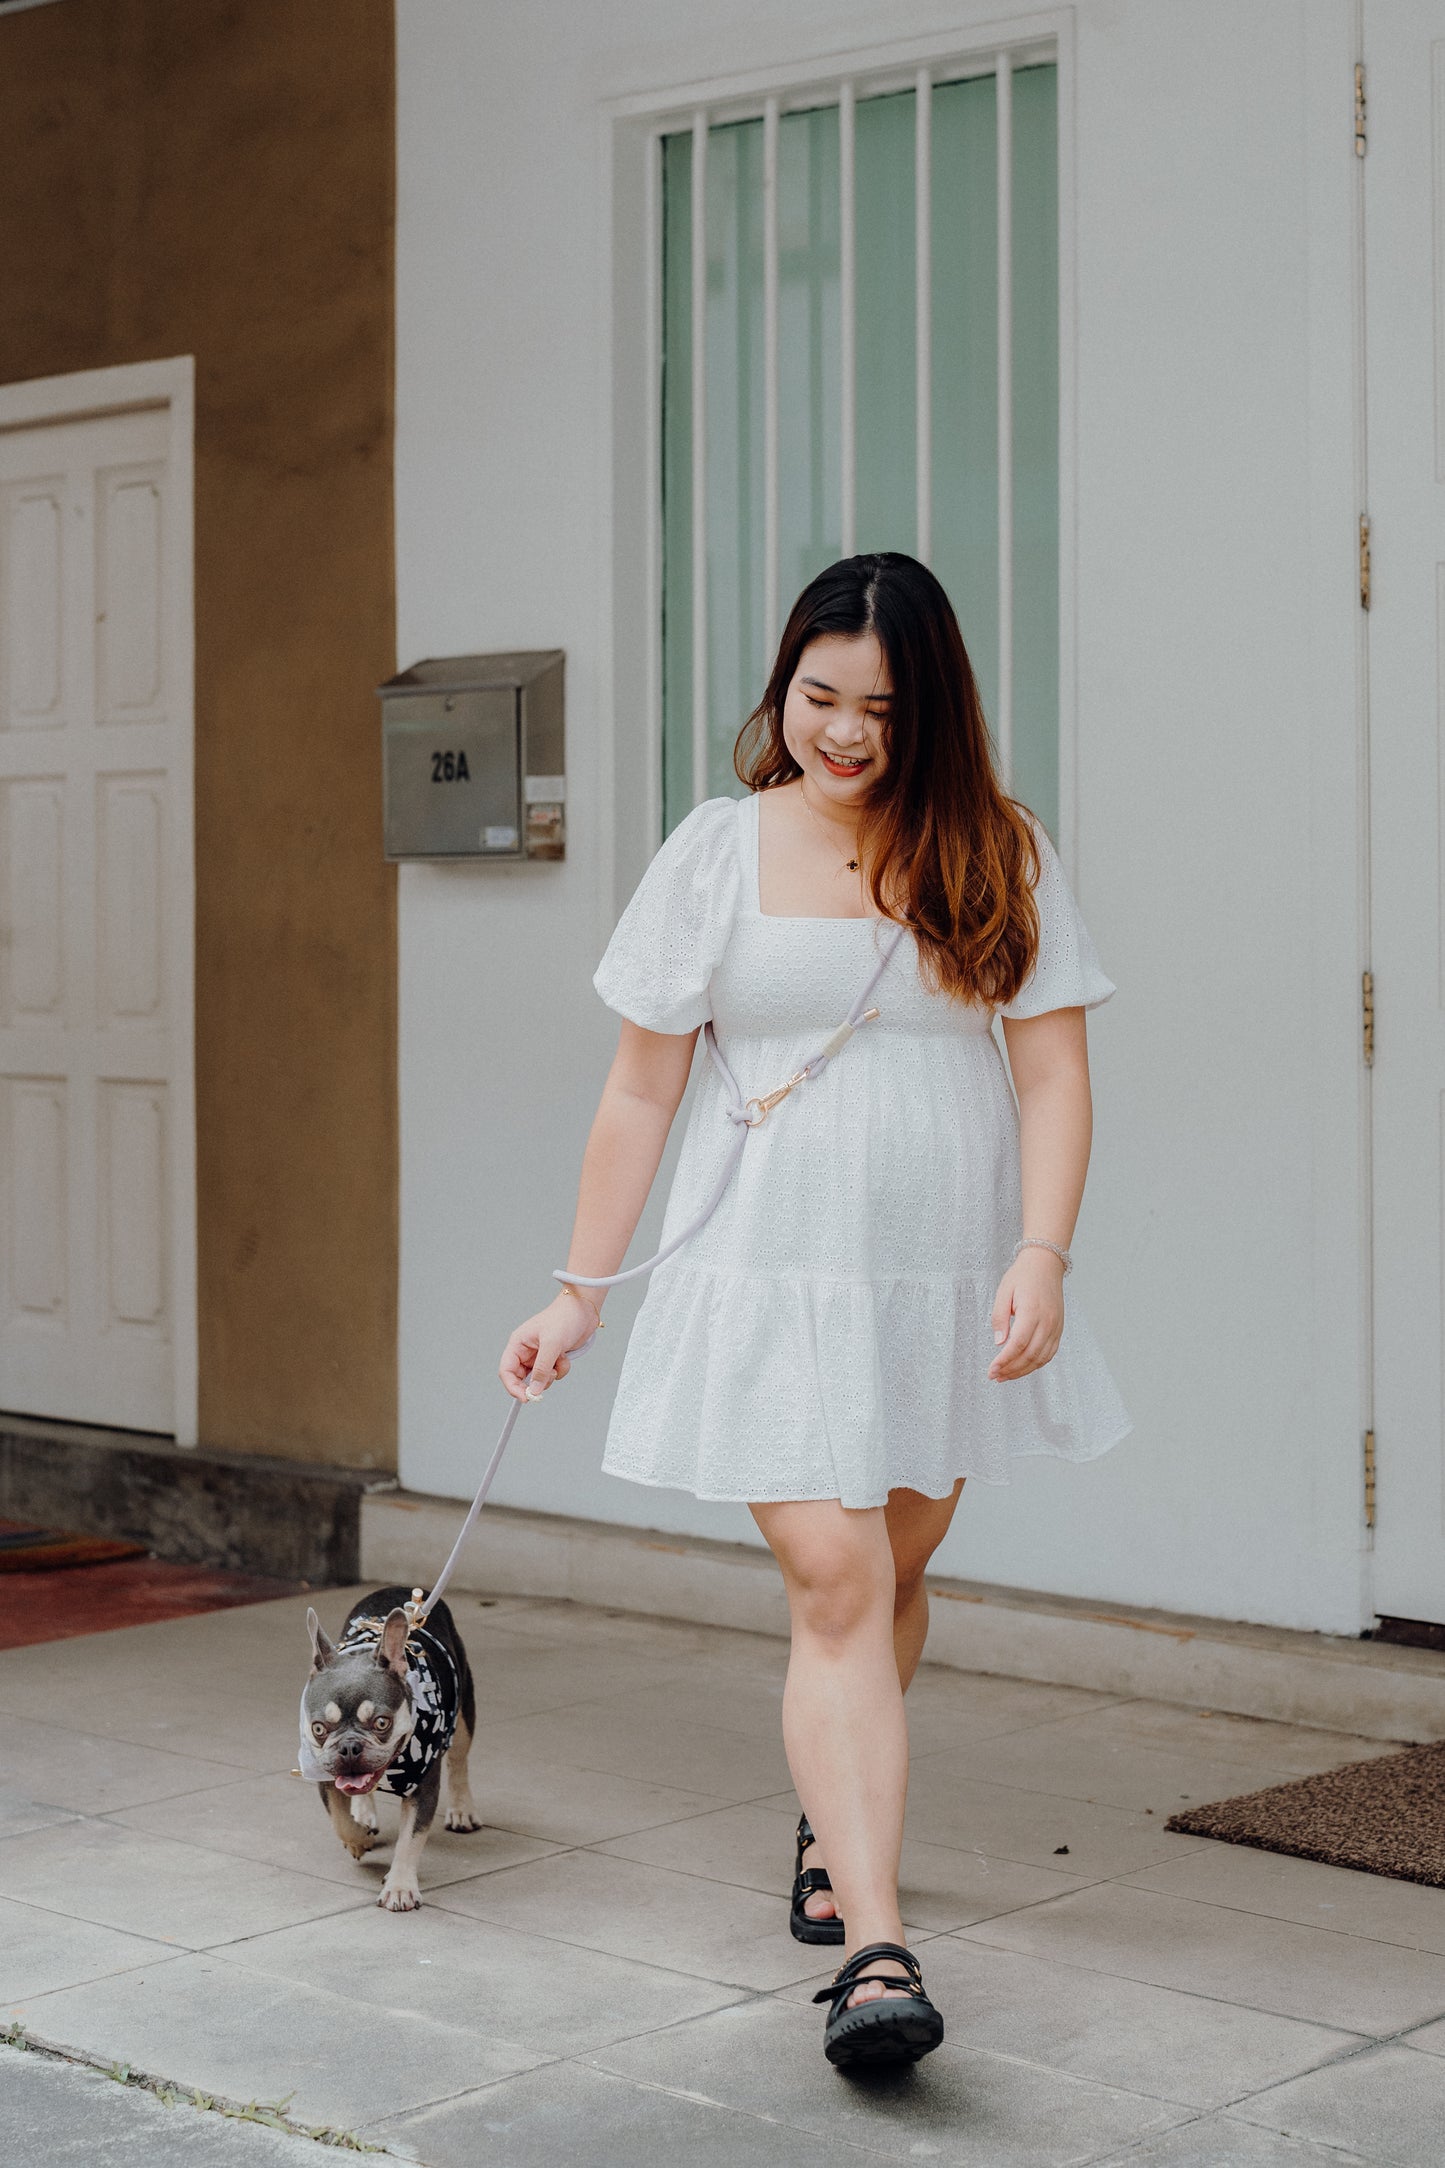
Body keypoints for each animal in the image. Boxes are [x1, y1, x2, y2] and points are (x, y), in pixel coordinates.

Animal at [303, 1586, 483, 1907]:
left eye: (381, 1723)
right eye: (319, 1728)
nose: (349, 1747)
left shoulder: (422, 1788)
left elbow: (410, 1839)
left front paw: (399, 1887)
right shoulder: (325, 1778)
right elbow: (339, 1820)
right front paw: (360, 1839)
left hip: (463, 1713)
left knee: (459, 1761)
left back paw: (462, 1810)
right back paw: (363, 1813)